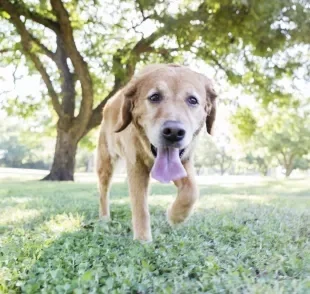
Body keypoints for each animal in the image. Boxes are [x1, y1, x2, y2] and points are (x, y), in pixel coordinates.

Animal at [96, 63, 216, 241]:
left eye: (192, 100)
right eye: (154, 97)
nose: (173, 132)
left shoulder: (184, 162)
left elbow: (192, 192)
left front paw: (175, 216)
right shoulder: (136, 166)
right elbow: (140, 206)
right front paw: (142, 239)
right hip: (105, 164)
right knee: (103, 192)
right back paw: (104, 218)